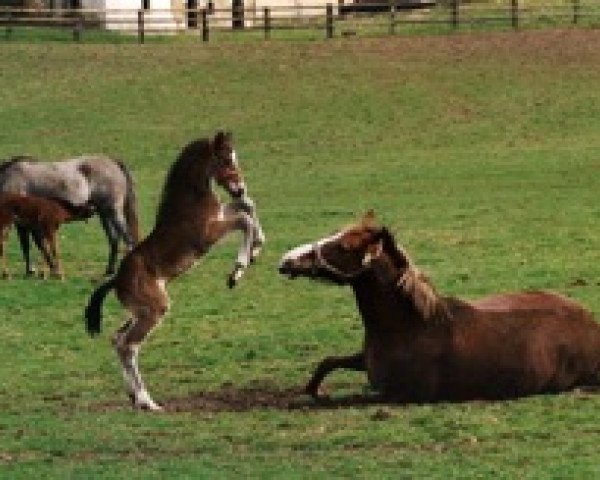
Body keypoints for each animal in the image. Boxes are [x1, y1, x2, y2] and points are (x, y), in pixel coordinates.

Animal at [0, 156, 139, 276]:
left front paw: (33, 270)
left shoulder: (22, 223)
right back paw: (109, 270)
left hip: (113, 212)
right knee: (114, 240)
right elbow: (35, 245)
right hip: (104, 214)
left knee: (128, 240)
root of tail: (113, 162)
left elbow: (28, 246)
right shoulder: (29, 223)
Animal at [84, 132, 264, 412]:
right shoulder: (208, 234)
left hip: (138, 311)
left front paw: (257, 247)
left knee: (116, 338)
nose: (240, 187)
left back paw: (134, 397)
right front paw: (237, 271)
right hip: (155, 309)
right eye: (225, 160)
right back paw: (147, 402)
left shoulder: (220, 215)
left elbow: (247, 206)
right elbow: (244, 219)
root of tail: (116, 280)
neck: (191, 199)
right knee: (128, 346)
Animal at [278, 212, 600, 404]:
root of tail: (590, 322)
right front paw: (311, 390)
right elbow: (327, 362)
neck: (411, 328)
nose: (286, 260)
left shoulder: (399, 395)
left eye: (343, 247)